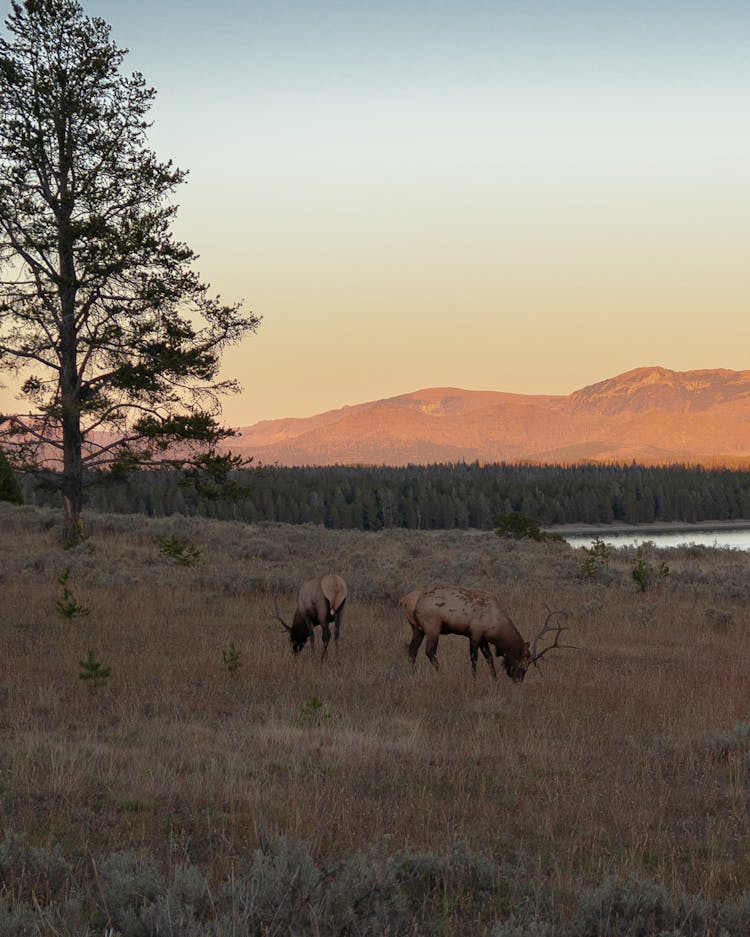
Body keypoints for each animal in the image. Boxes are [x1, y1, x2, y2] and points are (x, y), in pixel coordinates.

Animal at [402, 584, 572, 680]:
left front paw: (494, 679)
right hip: (432, 627)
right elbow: (474, 658)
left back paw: (412, 674)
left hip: (417, 628)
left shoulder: (484, 639)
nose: (518, 681)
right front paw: (474, 679)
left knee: (412, 650)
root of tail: (406, 600)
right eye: (524, 666)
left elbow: (489, 659)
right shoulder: (475, 633)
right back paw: (441, 674)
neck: (496, 626)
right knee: (430, 651)